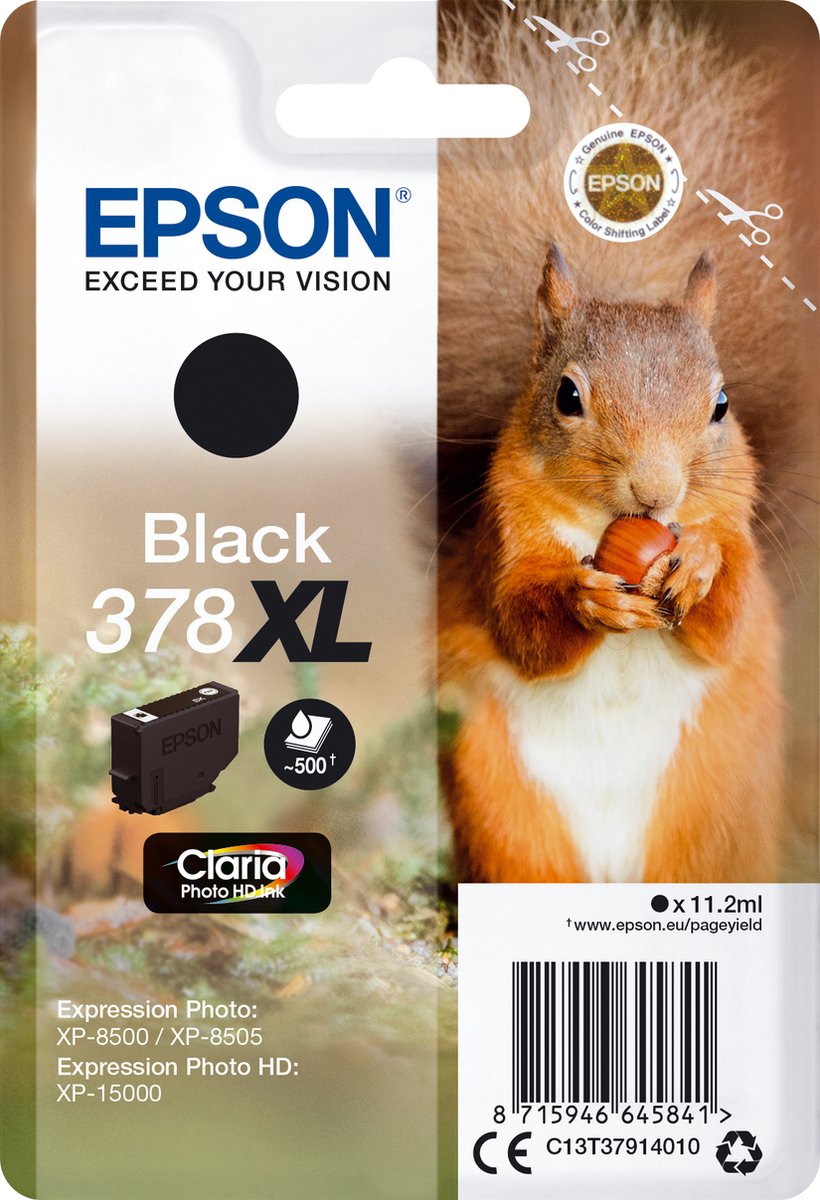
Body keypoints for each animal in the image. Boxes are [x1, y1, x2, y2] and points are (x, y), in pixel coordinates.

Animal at [436, 1, 817, 883]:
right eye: (567, 396)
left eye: (721, 405)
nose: (657, 493)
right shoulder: (504, 541)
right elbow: (522, 623)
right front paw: (588, 598)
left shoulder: (739, 534)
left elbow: (730, 617)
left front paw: (701, 565)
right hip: (502, 806)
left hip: (714, 810)